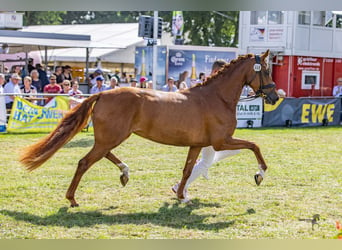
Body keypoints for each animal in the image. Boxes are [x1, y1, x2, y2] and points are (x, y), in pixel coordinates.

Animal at [19, 49, 278, 207]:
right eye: (265, 70)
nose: (275, 96)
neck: (216, 98)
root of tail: (102, 94)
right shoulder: (221, 141)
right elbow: (254, 145)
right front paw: (260, 174)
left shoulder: (197, 144)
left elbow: (187, 170)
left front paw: (181, 196)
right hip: (112, 137)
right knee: (85, 162)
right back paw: (72, 199)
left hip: (110, 137)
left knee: (104, 155)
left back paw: (124, 172)